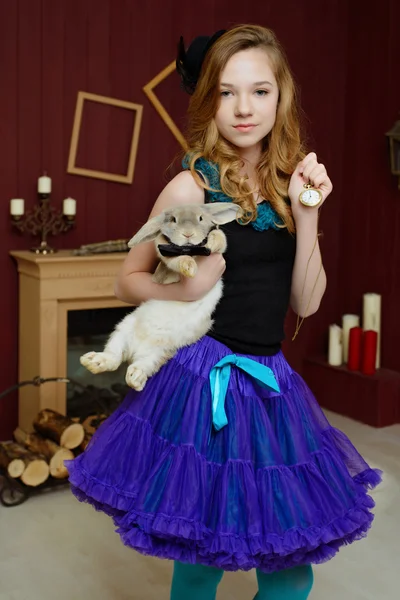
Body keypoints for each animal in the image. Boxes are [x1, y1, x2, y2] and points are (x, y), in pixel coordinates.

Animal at [79, 202, 239, 392]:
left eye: (200, 218)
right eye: (173, 219)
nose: (188, 234)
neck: (190, 250)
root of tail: (136, 349)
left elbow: (219, 237)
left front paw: (211, 244)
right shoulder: (164, 266)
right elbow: (175, 261)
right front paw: (189, 267)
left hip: (159, 353)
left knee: (138, 365)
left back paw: (135, 379)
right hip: (123, 330)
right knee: (114, 357)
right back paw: (92, 361)